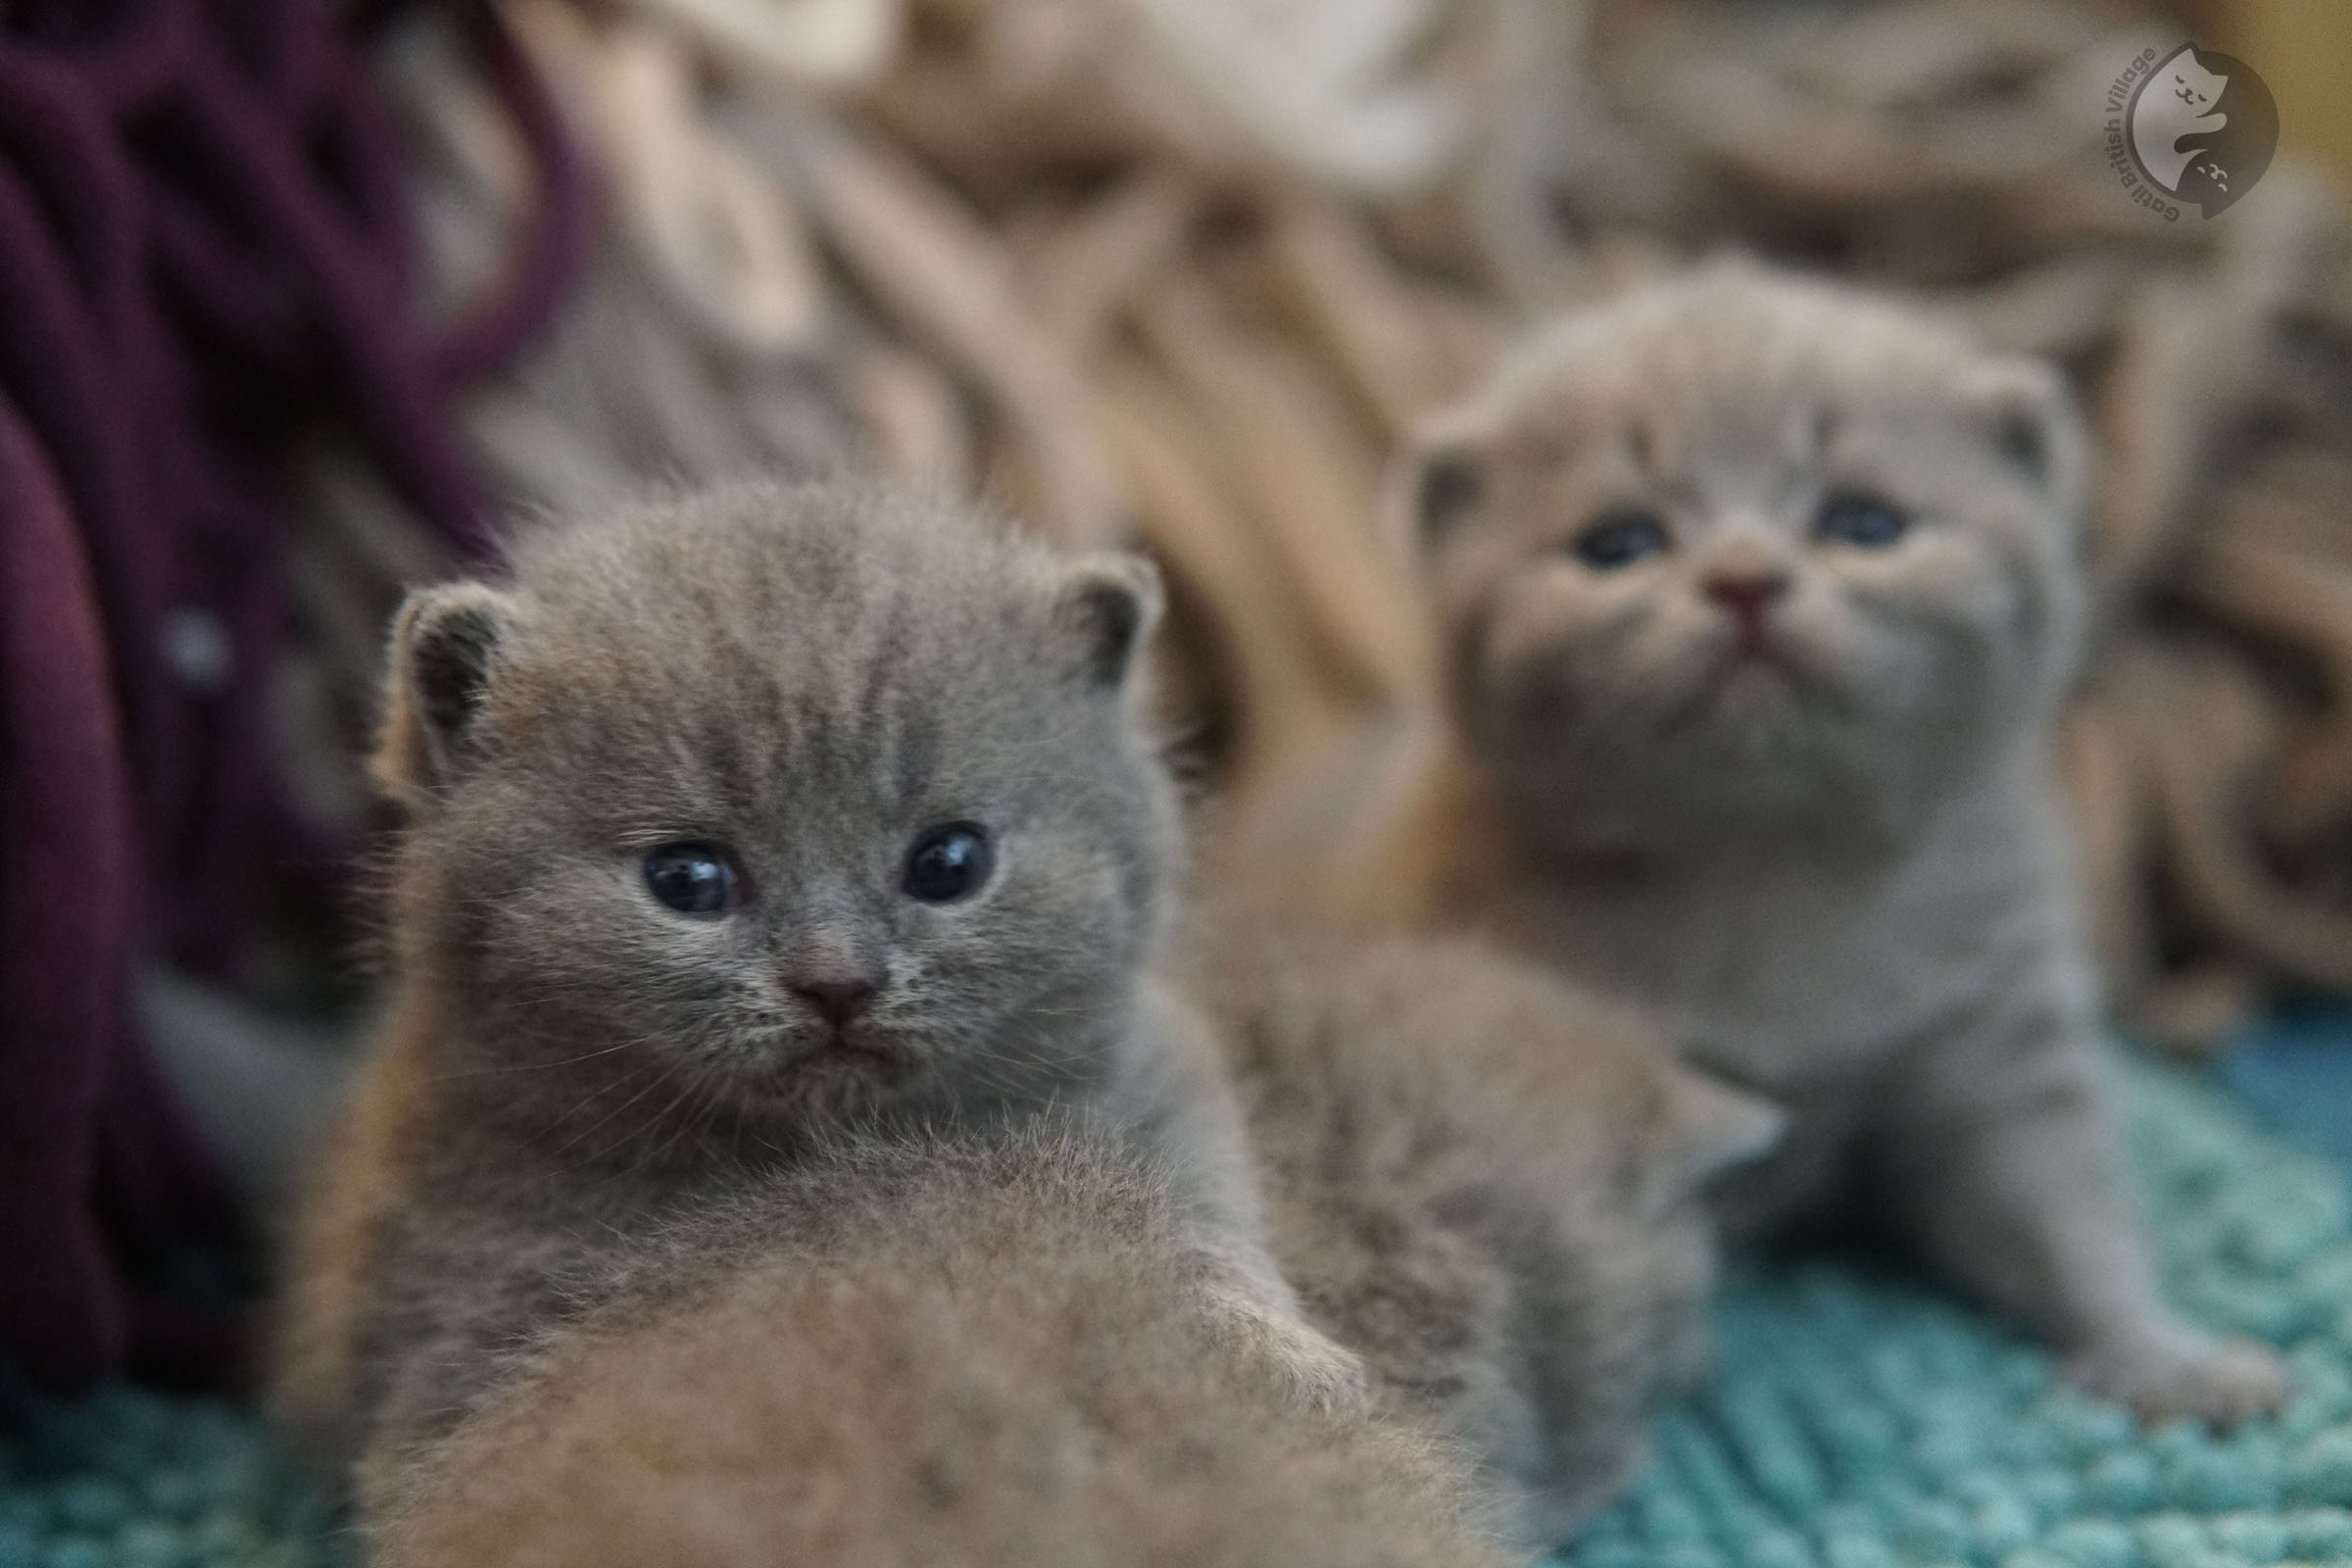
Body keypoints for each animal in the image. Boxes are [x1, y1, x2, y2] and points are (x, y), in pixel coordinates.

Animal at [274, 484, 1364, 1513]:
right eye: (689, 880)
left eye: (949, 862)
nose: (837, 980)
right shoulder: (454, 1307)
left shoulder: (1163, 1094)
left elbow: (1202, 1237)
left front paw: (1275, 1354)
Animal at [1383, 263, 2285, 1429]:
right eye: (1618, 545)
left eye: (1866, 522)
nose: (1744, 578)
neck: (1771, 865)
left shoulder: (1996, 1026)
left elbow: (2059, 1207)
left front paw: (2156, 1353)